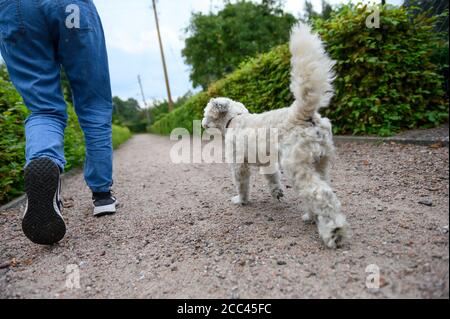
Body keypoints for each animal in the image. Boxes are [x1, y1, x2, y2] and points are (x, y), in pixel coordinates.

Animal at [202, 23, 350, 250]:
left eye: (205, 112)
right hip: (320, 164)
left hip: (297, 167)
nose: (202, 122)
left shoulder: (238, 164)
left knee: (321, 195)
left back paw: (334, 233)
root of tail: (303, 114)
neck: (235, 119)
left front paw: (241, 200)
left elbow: (241, 184)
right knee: (322, 191)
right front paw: (277, 193)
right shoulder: (268, 162)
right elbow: (273, 179)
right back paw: (311, 216)